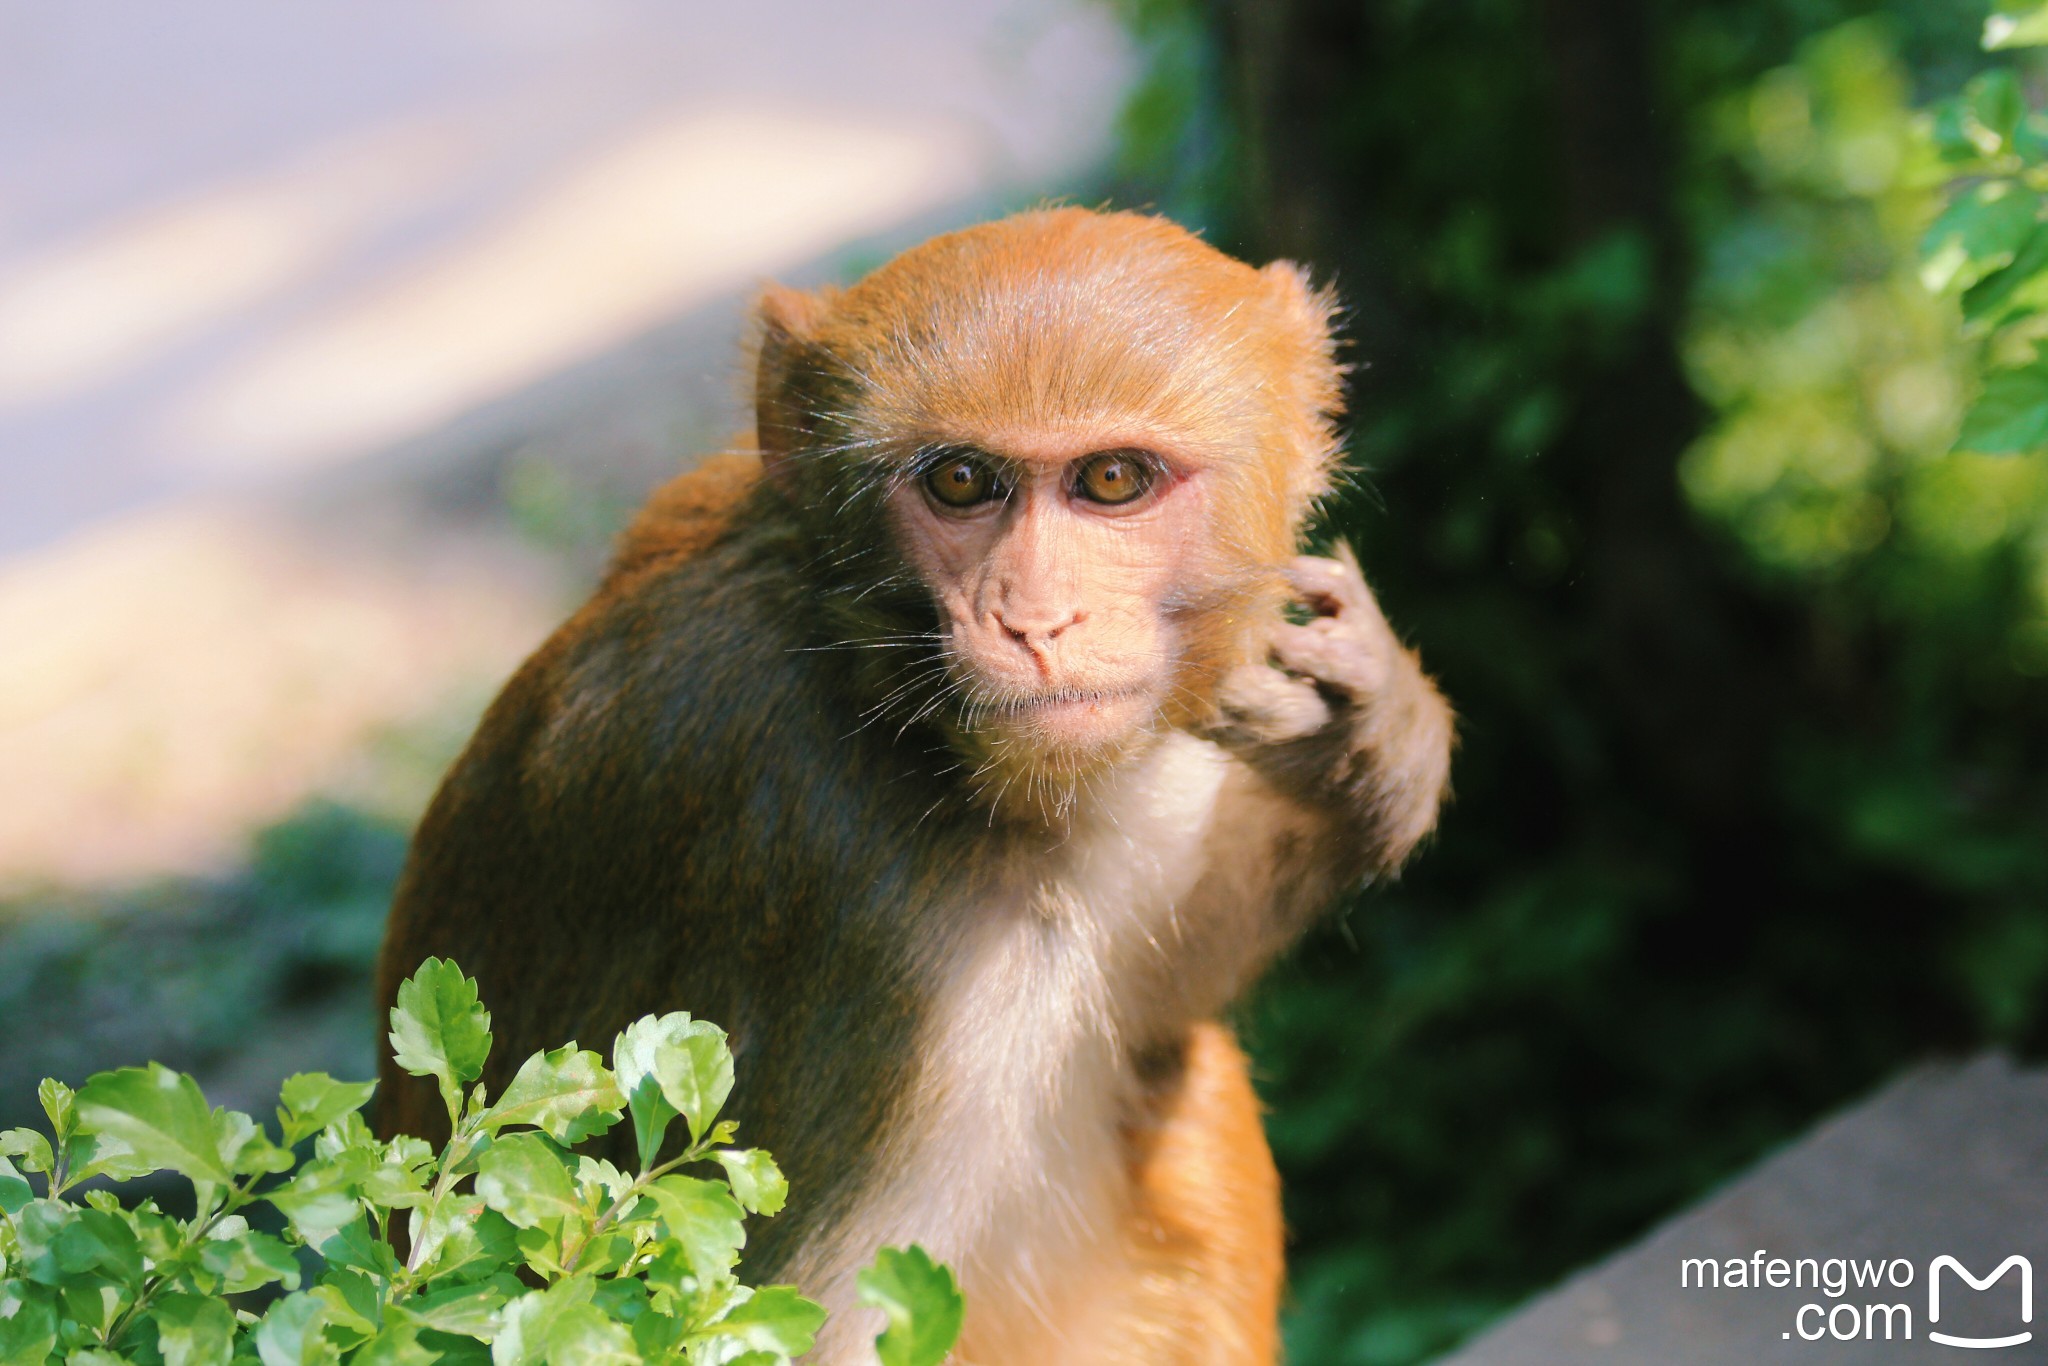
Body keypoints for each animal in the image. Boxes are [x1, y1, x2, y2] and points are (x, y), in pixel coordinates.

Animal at [372, 205, 1458, 1366]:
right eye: (961, 484)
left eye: (1111, 481)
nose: (1035, 621)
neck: (873, 688)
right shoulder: (832, 872)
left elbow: (1166, 989)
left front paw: (1373, 745)